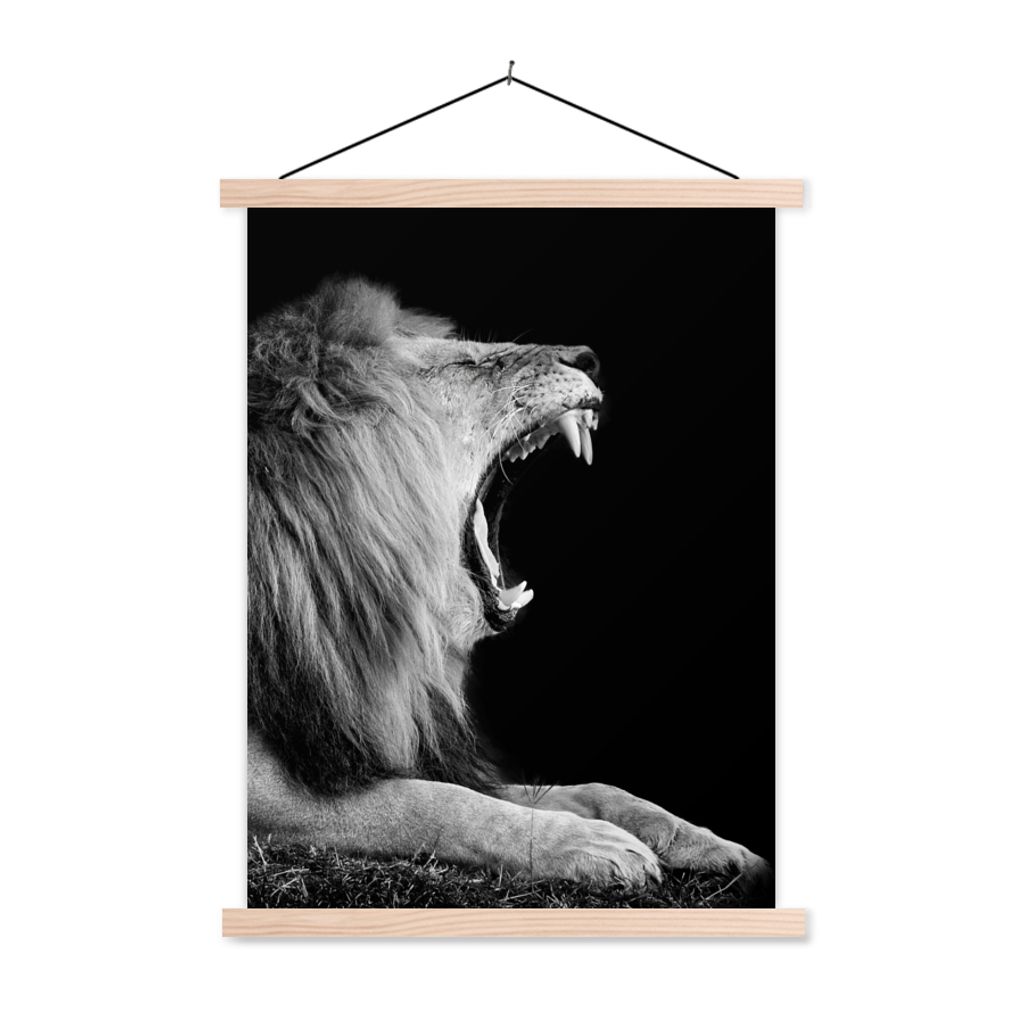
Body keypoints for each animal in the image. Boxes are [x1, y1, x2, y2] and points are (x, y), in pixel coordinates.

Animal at [248, 276, 770, 892]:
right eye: (465, 364)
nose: (588, 358)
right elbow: (430, 801)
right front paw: (586, 844)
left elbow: (585, 789)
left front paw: (704, 840)